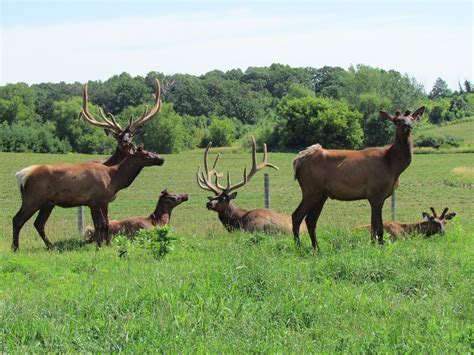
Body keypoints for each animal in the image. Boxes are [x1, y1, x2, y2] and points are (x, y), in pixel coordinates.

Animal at [292, 107, 426, 252]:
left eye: (412, 118)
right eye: (397, 121)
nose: (408, 126)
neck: (393, 166)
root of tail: (298, 161)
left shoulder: (374, 196)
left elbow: (373, 227)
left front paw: (373, 247)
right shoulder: (376, 193)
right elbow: (379, 227)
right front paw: (381, 248)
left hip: (322, 194)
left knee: (310, 220)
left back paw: (317, 248)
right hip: (310, 189)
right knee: (297, 216)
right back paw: (299, 248)